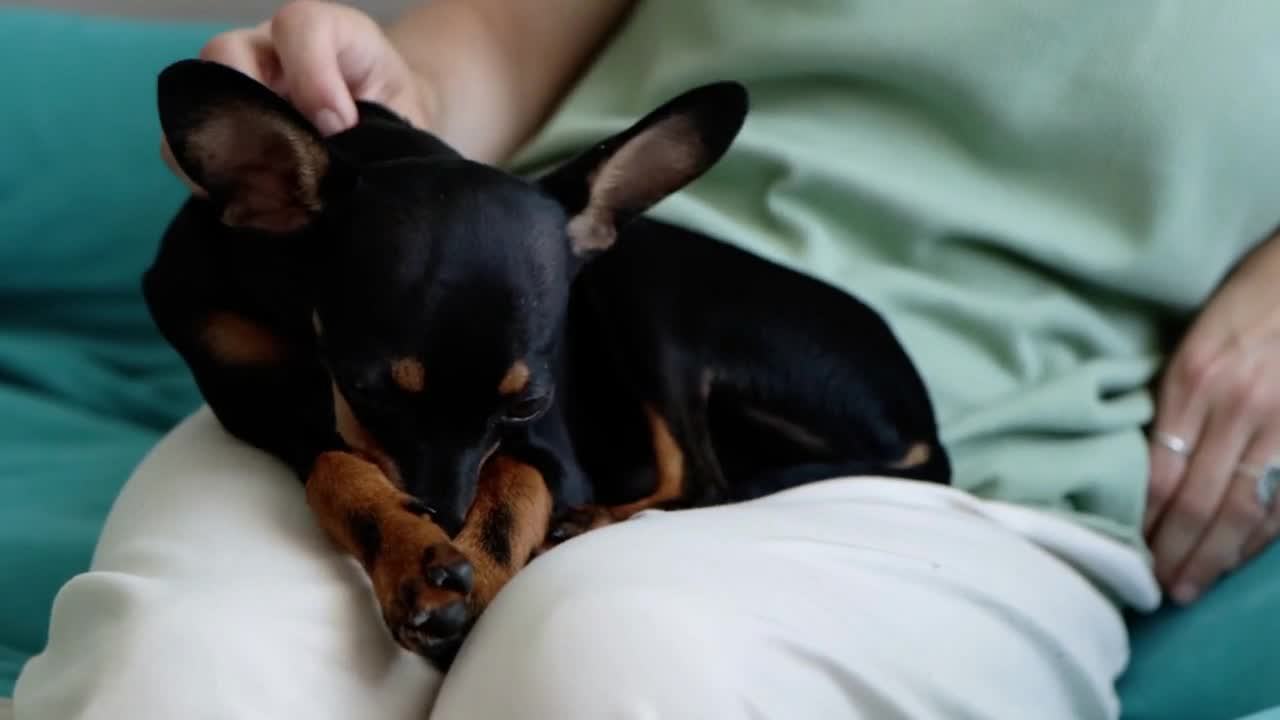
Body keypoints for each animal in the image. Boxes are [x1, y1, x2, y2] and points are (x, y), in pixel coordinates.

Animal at [147, 58, 952, 671]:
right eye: (367, 389)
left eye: (528, 405)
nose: (443, 514)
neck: (292, 307)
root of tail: (924, 418)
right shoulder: (260, 404)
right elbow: (339, 471)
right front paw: (411, 551)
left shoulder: (548, 445)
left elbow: (514, 483)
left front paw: (468, 574)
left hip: (640, 289)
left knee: (700, 477)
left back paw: (585, 522)